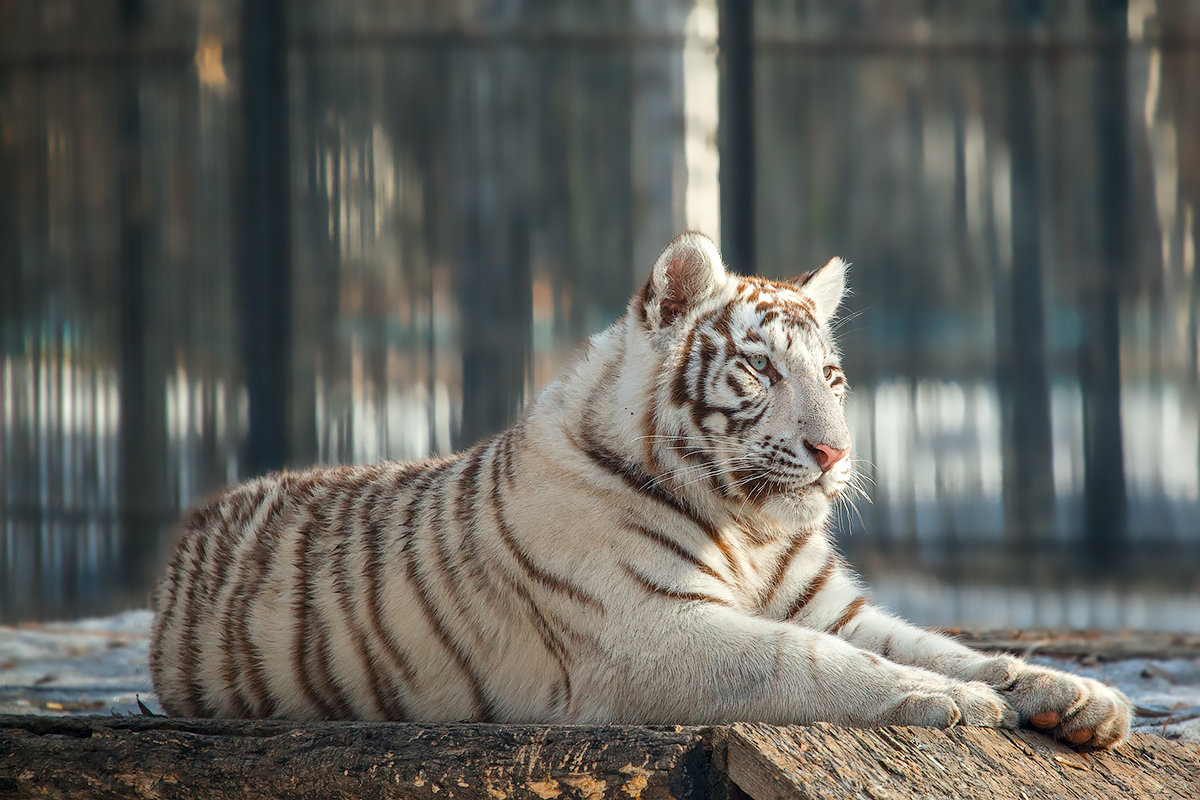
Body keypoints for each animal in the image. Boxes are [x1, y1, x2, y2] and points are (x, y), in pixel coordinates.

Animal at [145, 235, 1128, 748]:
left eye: (833, 377)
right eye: (760, 370)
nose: (835, 453)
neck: (751, 529)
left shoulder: (831, 608)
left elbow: (954, 646)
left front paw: (1074, 695)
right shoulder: (649, 632)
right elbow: (810, 663)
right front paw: (956, 705)